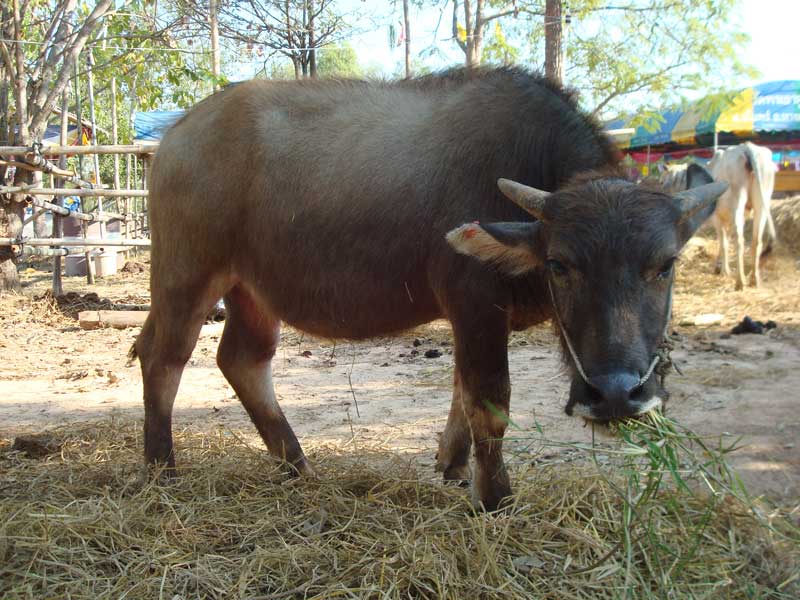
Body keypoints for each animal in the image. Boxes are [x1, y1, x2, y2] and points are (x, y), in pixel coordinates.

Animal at [134, 69, 728, 510]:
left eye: (666, 265)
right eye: (561, 264)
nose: (616, 395)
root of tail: (176, 138)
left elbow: (461, 392)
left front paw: (454, 465)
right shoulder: (475, 303)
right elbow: (488, 398)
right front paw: (495, 498)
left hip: (251, 291)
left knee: (241, 359)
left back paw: (298, 465)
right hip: (185, 274)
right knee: (164, 357)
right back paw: (162, 468)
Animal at [708, 143, 780, 288]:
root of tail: (747, 147)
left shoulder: (717, 218)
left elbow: (724, 243)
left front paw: (724, 271)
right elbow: (725, 240)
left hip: (738, 199)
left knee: (740, 241)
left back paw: (740, 282)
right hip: (761, 203)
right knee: (756, 241)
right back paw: (754, 280)